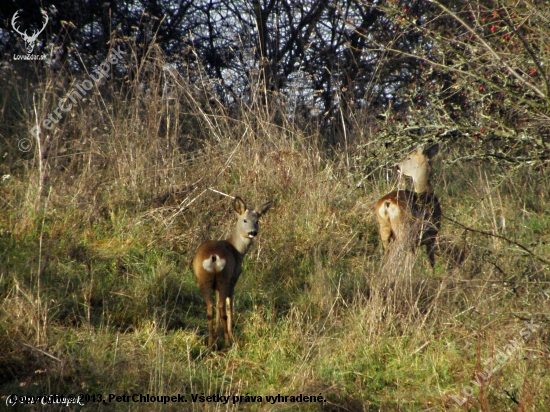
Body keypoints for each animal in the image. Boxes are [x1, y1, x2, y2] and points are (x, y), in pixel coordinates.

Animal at [193, 196, 274, 348]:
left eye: (257, 221)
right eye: (245, 220)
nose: (253, 232)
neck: (237, 250)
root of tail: (214, 256)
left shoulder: (216, 286)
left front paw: (217, 332)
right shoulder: (233, 279)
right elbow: (229, 306)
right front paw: (229, 333)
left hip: (204, 279)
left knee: (211, 307)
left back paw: (211, 341)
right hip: (224, 278)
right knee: (222, 308)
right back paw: (227, 340)